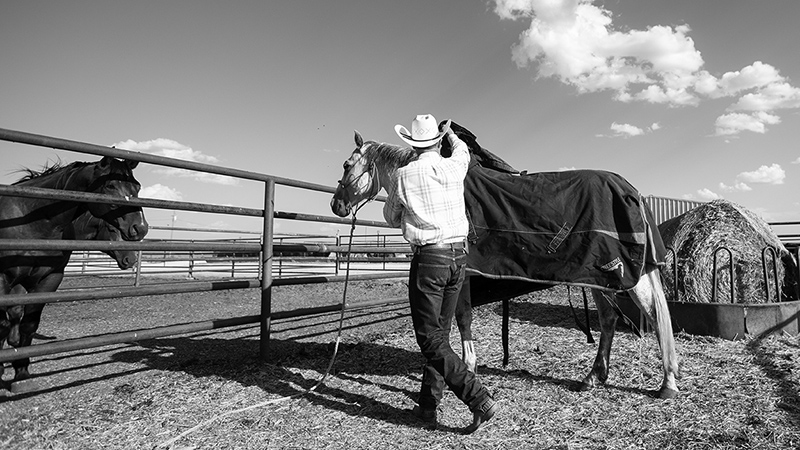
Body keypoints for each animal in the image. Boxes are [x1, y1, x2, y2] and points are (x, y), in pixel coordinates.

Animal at [0, 156, 148, 386]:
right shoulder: (6, 278)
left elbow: (27, 324)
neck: (31, 220)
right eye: (110, 185)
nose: (140, 228)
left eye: (138, 186)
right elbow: (4, 321)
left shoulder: (48, 278)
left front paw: (21, 373)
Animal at [331, 129, 680, 399]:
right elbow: (458, 319)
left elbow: (462, 318)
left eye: (347, 164)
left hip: (625, 276)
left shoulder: (465, 275)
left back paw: (667, 383)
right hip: (599, 277)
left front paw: (467, 366)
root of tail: (632, 191)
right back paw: (593, 377)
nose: (337, 204)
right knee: (609, 320)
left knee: (653, 315)